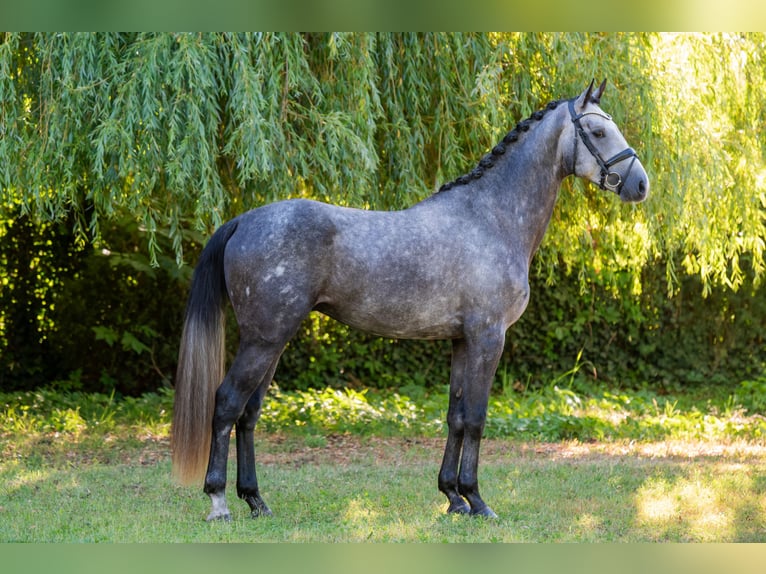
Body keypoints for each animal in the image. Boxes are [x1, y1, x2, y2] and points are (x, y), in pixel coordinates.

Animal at [171, 79, 649, 521]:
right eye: (598, 131)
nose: (640, 185)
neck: (490, 219)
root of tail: (243, 220)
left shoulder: (461, 341)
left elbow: (456, 416)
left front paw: (452, 497)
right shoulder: (487, 338)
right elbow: (476, 417)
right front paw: (477, 500)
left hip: (272, 341)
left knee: (248, 414)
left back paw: (256, 500)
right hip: (264, 340)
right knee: (227, 404)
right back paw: (218, 501)